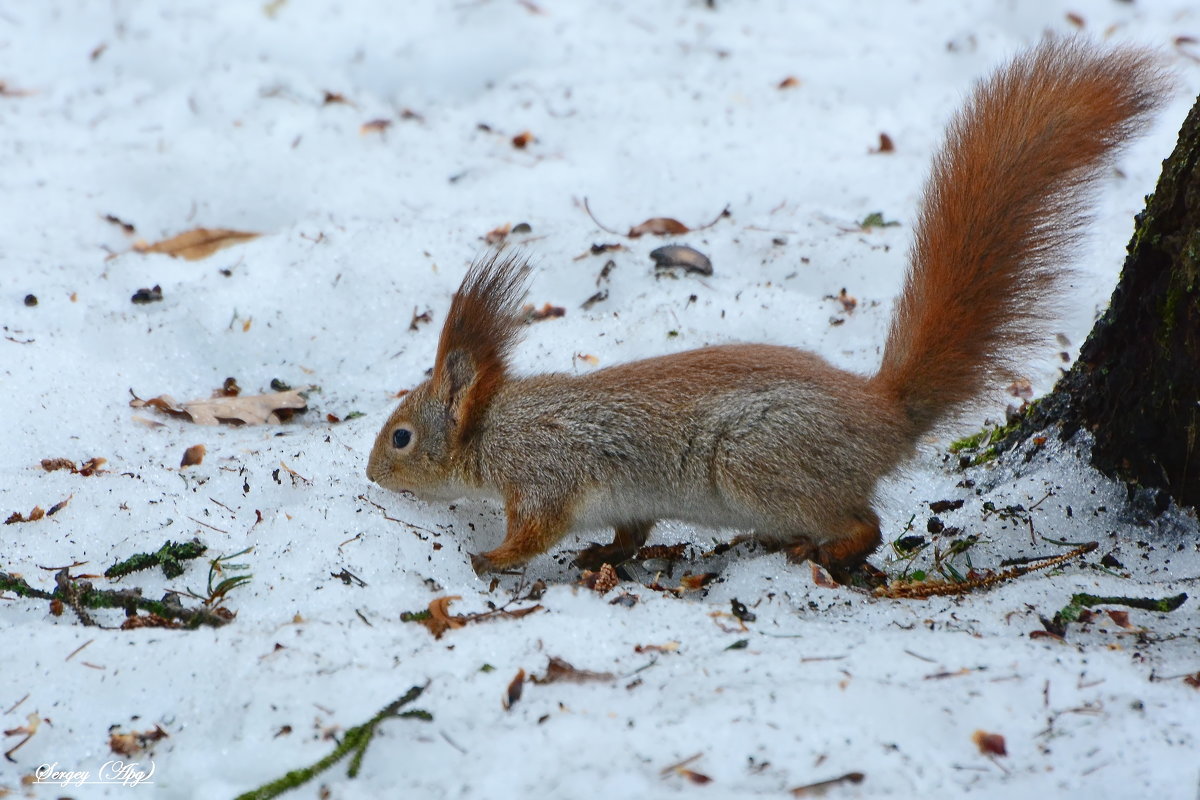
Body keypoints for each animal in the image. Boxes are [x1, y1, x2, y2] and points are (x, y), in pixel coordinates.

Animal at [367, 38, 1171, 575]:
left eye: (401, 437)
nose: (371, 475)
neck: (493, 429)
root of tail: (885, 416)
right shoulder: (621, 499)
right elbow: (629, 531)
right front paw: (603, 555)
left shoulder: (546, 475)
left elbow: (534, 532)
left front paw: (490, 559)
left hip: (761, 464)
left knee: (866, 524)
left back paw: (815, 548)